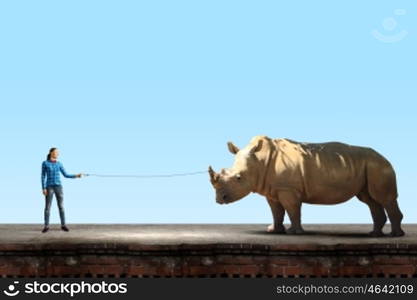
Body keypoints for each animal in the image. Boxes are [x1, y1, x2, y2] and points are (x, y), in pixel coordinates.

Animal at [208, 135, 404, 237]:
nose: (219, 200)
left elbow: (292, 209)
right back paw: (374, 234)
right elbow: (276, 212)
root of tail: (384, 157)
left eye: (238, 178)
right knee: (370, 200)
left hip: (378, 165)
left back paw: (394, 236)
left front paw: (294, 232)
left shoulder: (288, 189)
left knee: (383, 199)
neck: (259, 161)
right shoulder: (272, 189)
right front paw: (274, 230)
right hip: (369, 166)